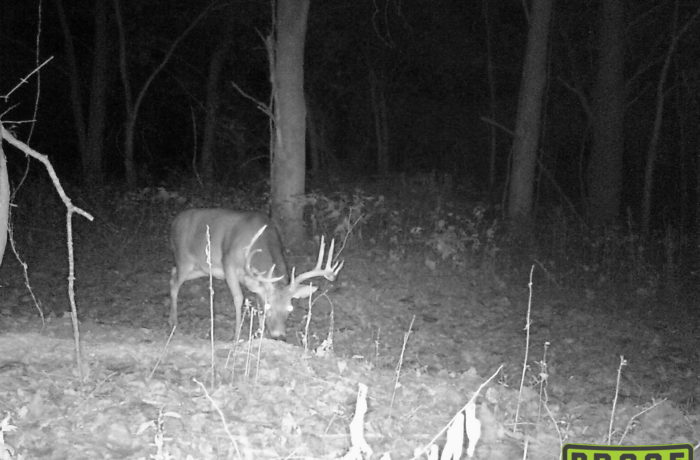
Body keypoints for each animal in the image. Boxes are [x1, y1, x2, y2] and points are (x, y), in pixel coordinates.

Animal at [169, 209, 343, 341]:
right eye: (269, 307)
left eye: (290, 308)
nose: (278, 335)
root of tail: (175, 220)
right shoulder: (228, 264)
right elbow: (239, 298)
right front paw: (237, 336)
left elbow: (257, 302)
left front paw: (260, 334)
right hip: (184, 259)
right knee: (175, 284)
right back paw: (174, 322)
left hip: (200, 269)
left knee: (172, 274)